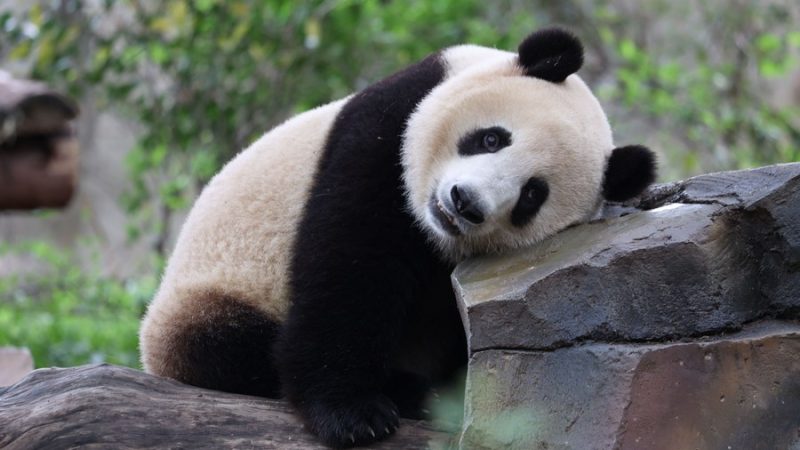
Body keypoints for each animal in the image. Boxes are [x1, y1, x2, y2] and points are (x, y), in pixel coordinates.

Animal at [139, 28, 656, 448]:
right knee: (228, 347)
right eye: (491, 139)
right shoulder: (385, 133)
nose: (465, 202)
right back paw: (408, 390)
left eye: (532, 195)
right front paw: (353, 415)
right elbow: (350, 268)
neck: (430, 230)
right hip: (206, 298)